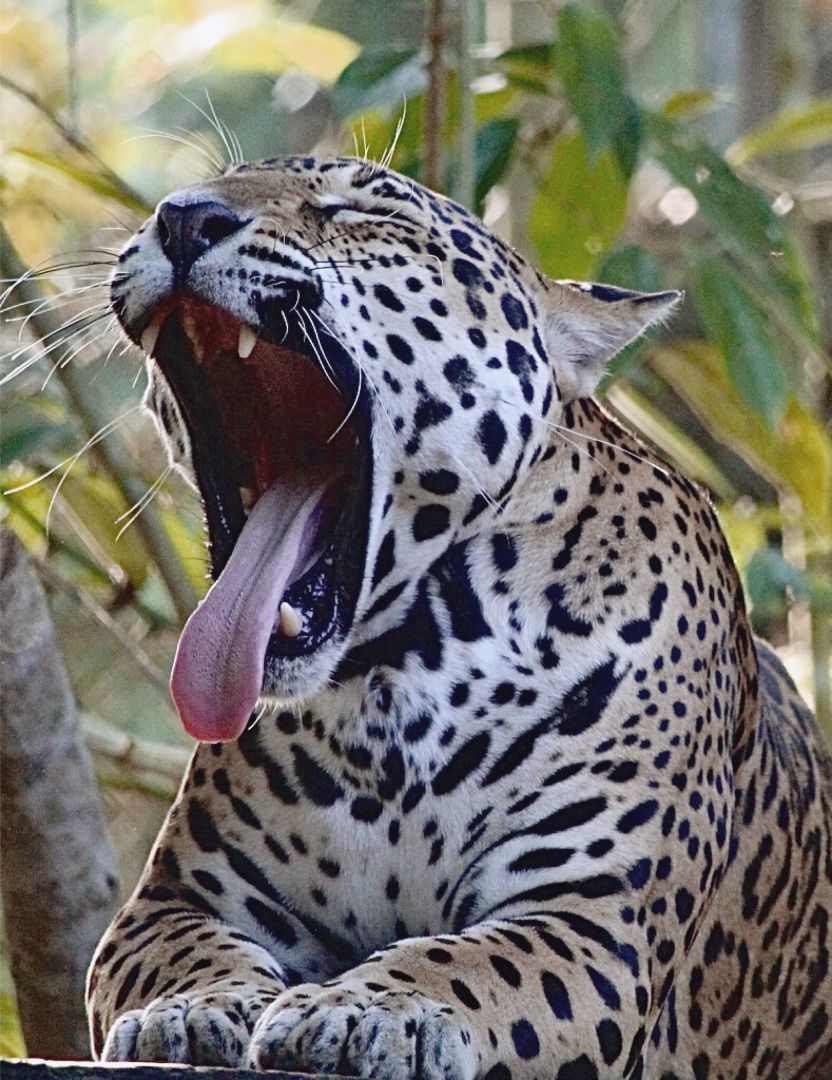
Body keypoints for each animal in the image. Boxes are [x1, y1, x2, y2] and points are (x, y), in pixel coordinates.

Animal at [86, 155, 832, 1079]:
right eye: (198, 194)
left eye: (360, 210)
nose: (183, 219)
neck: (395, 683)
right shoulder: (173, 899)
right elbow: (186, 954)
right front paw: (191, 1008)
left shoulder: (591, 916)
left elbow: (468, 960)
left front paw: (362, 1009)